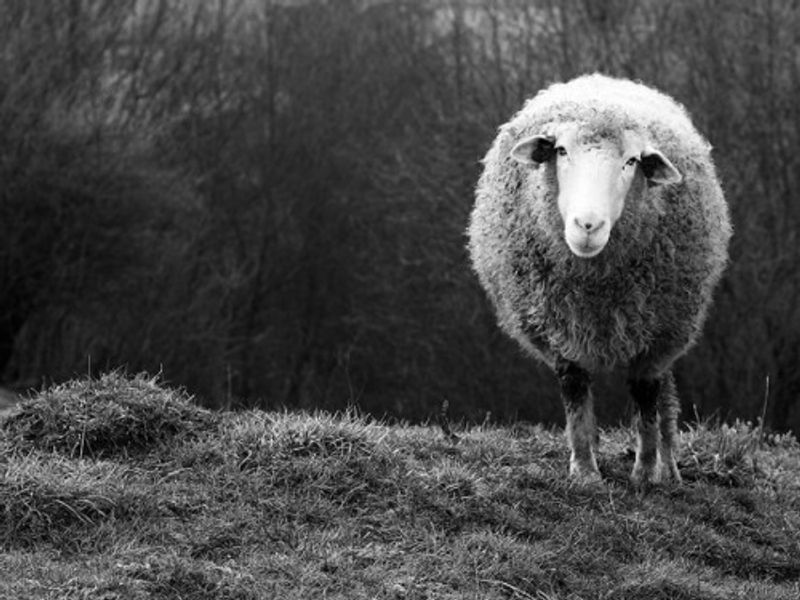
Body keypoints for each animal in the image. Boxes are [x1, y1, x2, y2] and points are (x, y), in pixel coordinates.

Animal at [468, 74, 732, 484]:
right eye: (560, 151)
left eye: (631, 161)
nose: (587, 225)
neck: (595, 286)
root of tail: (602, 80)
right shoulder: (559, 328)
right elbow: (576, 392)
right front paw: (585, 471)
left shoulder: (656, 335)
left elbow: (646, 398)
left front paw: (645, 473)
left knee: (664, 398)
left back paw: (669, 469)